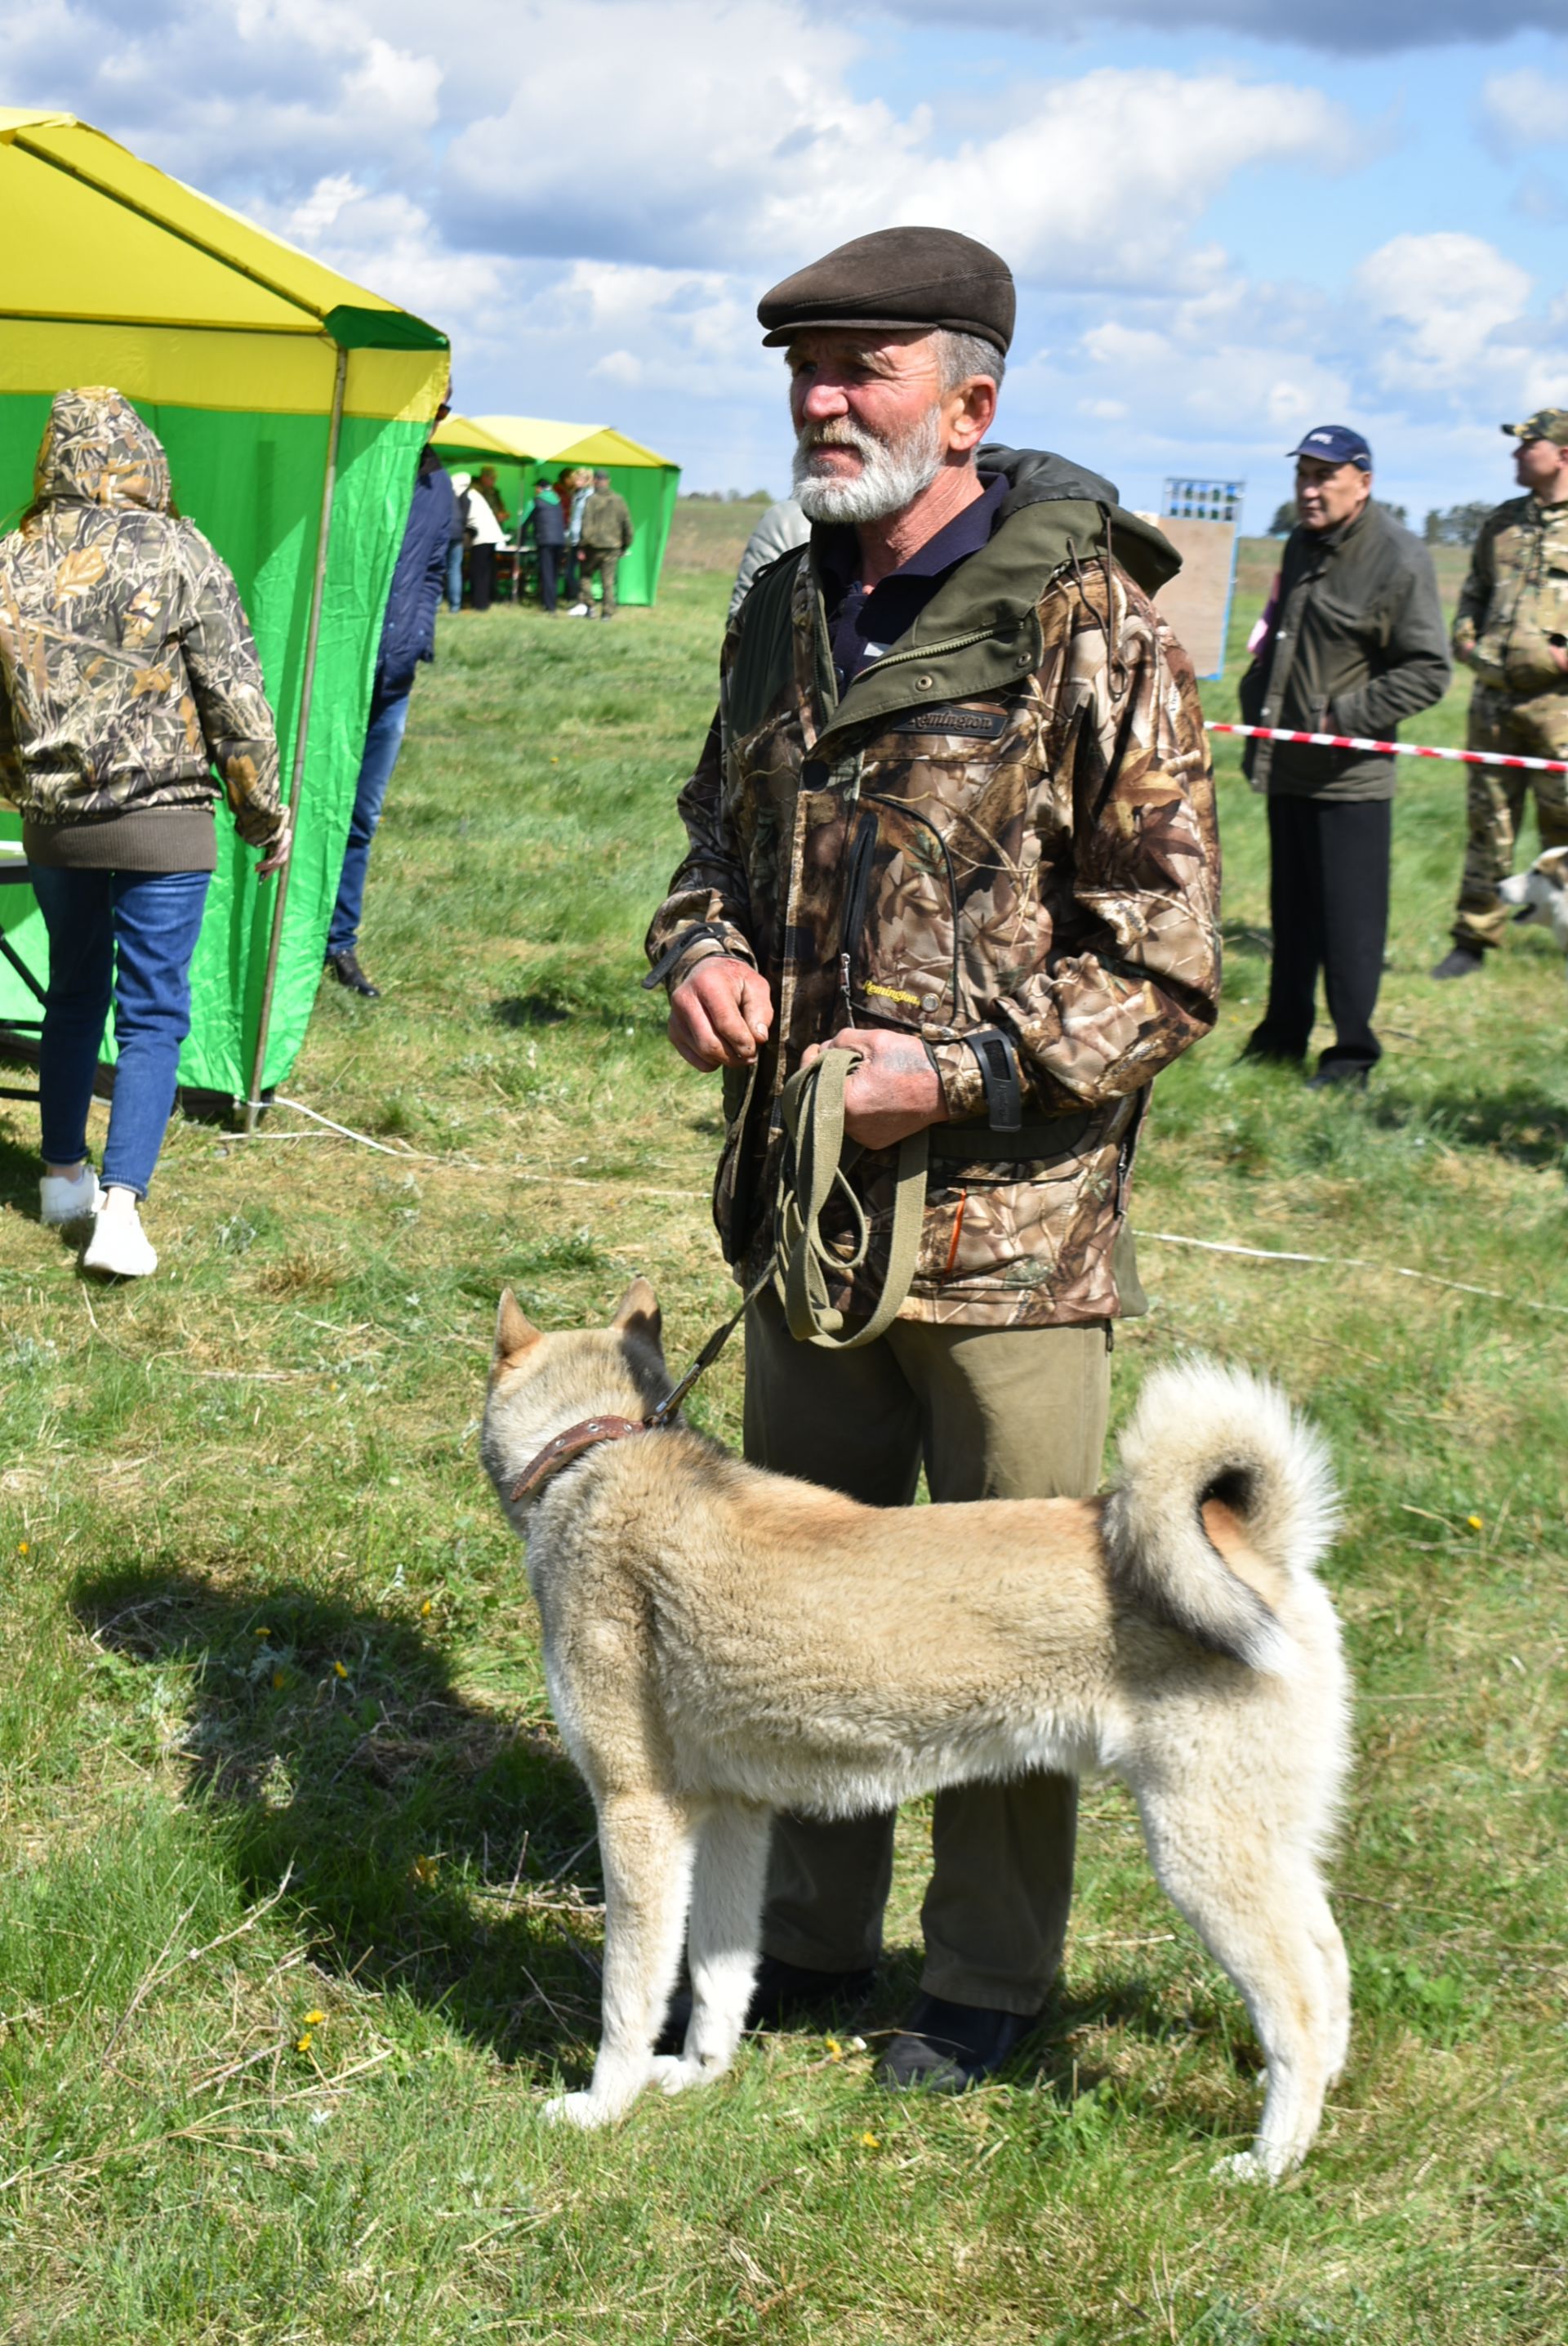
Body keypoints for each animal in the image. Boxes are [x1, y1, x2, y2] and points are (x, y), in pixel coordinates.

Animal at [483, 1285, 1350, 2177]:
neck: (595, 1454)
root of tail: (1248, 1544)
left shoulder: (637, 1811)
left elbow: (629, 1995)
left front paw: (601, 2106)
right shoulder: (734, 1815)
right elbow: (720, 1976)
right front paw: (697, 2075)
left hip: (1201, 1853)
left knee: (1298, 2009)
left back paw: (1268, 2163)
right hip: (1264, 1847)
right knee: (1330, 1972)